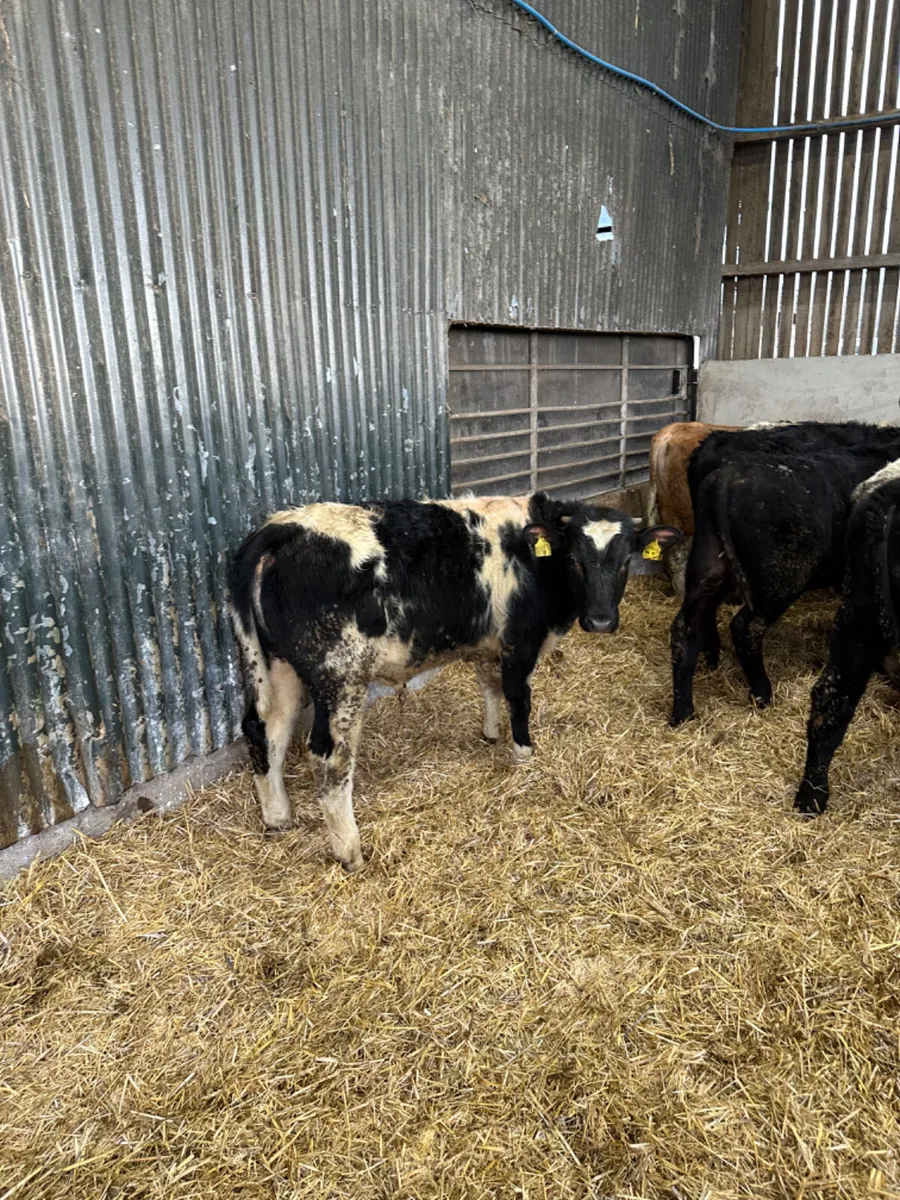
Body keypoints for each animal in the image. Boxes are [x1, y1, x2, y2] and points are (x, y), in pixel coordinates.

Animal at [229, 493, 682, 871]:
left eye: (626, 562)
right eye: (575, 559)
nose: (601, 621)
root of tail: (283, 526)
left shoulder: (490, 643)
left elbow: (489, 686)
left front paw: (491, 733)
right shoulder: (521, 642)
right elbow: (519, 698)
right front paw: (523, 754)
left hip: (277, 666)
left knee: (266, 730)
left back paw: (278, 817)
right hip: (340, 677)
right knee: (329, 758)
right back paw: (350, 851)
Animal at [670, 441, 900, 726]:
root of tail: (728, 475)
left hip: (708, 569)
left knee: (686, 630)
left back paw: (683, 712)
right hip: (779, 581)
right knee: (746, 627)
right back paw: (762, 694)